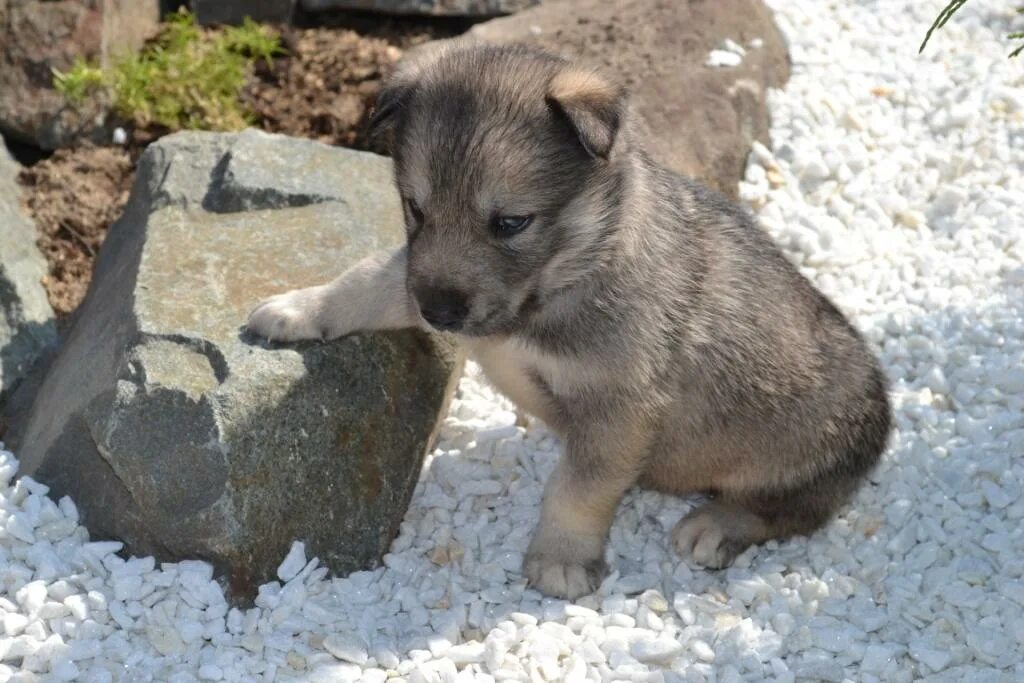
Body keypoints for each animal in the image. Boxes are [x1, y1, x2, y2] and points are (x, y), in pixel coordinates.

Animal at [245, 42, 888, 598]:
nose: (440, 315)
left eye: (511, 223)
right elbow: (371, 278)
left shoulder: (616, 412)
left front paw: (559, 558)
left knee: (786, 512)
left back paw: (717, 524)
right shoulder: (420, 275)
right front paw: (301, 308)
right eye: (415, 208)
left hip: (796, 461)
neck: (565, 277)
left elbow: (576, 490)